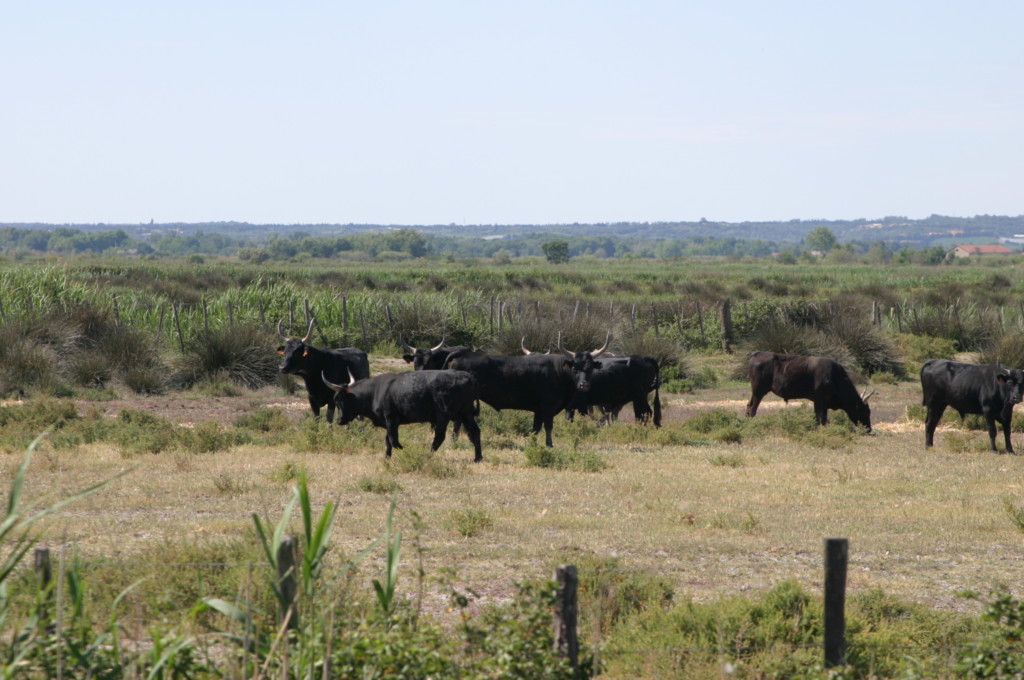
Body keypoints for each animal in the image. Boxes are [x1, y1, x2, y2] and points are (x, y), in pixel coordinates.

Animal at [321, 368, 481, 458]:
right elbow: (388, 440)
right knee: (474, 432)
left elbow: (393, 440)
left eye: (339, 400)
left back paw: (427, 455)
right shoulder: (389, 422)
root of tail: (466, 376)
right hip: (466, 413)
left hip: (444, 415)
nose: (339, 421)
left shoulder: (391, 418)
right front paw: (387, 457)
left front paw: (404, 450)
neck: (375, 392)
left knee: (439, 437)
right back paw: (478, 458)